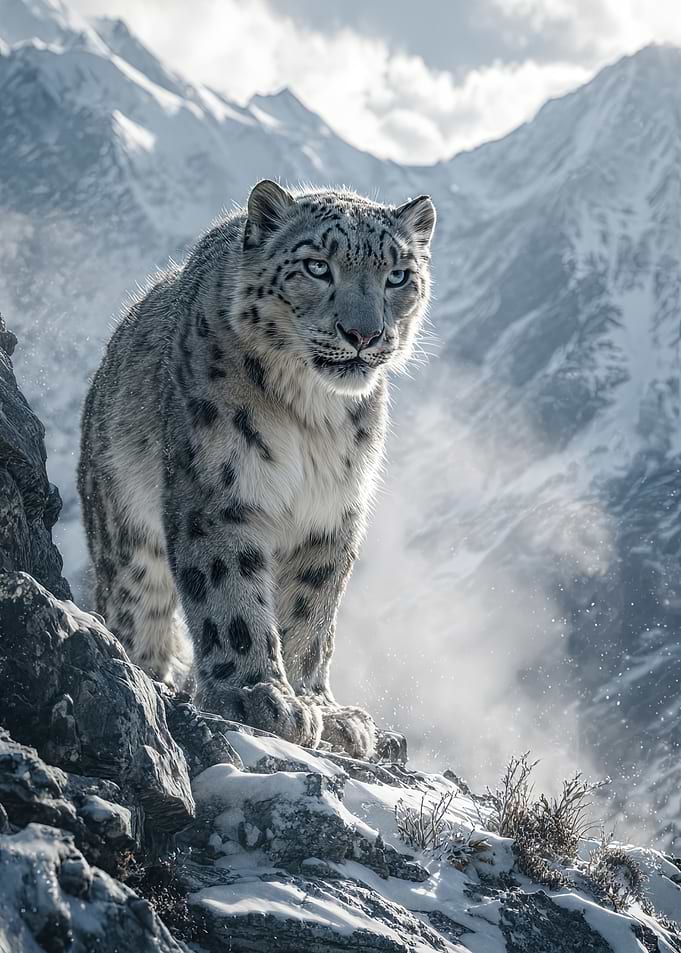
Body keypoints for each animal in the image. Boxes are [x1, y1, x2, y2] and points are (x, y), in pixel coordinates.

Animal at [78, 180, 436, 760]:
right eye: (317, 266)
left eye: (398, 275)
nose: (363, 334)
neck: (313, 416)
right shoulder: (220, 493)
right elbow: (232, 597)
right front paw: (257, 695)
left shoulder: (331, 514)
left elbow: (311, 613)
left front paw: (323, 710)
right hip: (125, 542)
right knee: (136, 614)